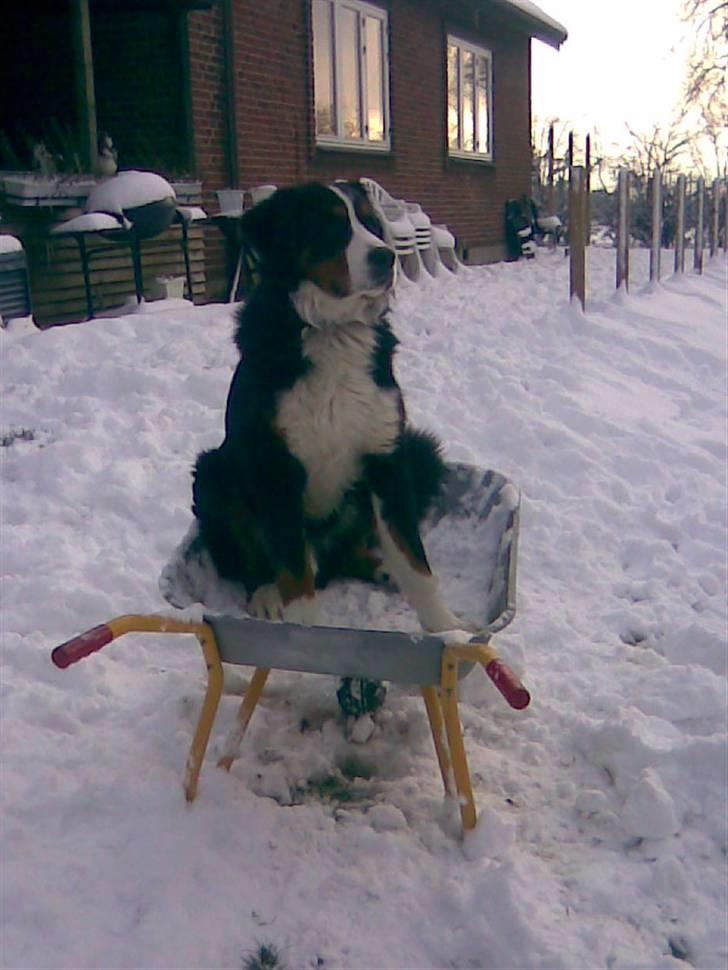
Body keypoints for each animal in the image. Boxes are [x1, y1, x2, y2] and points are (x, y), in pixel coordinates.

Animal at [192, 182, 466, 636]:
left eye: (371, 223)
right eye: (330, 227)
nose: (385, 257)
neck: (333, 332)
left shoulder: (385, 457)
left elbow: (414, 559)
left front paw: (448, 629)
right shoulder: (276, 467)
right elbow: (293, 569)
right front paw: (306, 636)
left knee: (351, 553)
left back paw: (381, 569)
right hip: (215, 471)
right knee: (248, 558)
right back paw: (265, 594)